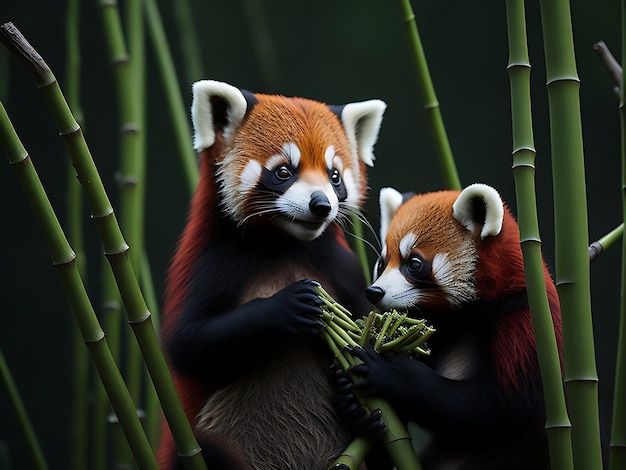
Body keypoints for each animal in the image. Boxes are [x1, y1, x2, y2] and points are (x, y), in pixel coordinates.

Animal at [156, 79, 386, 468]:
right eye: (283, 172)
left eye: (334, 176)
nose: (321, 204)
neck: (285, 242)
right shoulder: (210, 262)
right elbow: (187, 345)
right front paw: (288, 305)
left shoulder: (343, 267)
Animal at [346, 184, 560, 470]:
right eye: (382, 264)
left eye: (414, 264)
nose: (374, 292)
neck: (466, 315)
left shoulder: (524, 316)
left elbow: (504, 405)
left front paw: (392, 371)